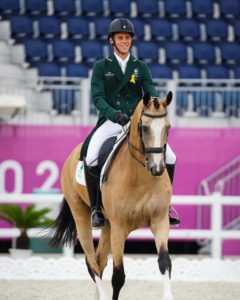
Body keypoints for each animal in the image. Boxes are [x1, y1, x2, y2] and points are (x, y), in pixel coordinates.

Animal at [50, 92, 174, 300]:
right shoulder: (119, 228)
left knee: (99, 261)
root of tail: (73, 155)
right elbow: (118, 276)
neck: (140, 177)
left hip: (108, 226)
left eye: (168, 127)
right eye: (144, 127)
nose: (157, 169)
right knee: (92, 263)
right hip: (82, 215)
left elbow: (165, 262)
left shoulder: (160, 221)